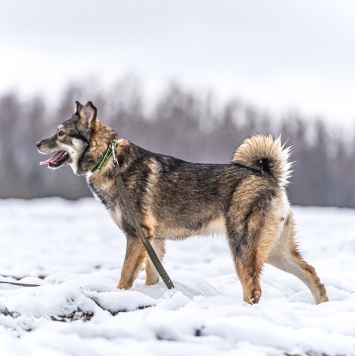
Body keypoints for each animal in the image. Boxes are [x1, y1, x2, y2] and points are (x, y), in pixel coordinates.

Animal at [36, 100, 328, 304]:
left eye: (60, 133)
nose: (37, 143)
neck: (110, 160)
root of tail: (267, 175)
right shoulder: (152, 241)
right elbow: (153, 275)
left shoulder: (137, 236)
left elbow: (124, 277)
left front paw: (119, 296)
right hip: (275, 251)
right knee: (312, 274)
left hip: (243, 249)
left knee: (253, 288)